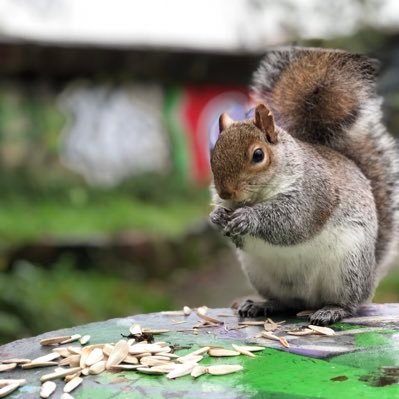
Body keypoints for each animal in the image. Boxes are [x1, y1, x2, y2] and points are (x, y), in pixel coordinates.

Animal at [209, 47, 399, 328]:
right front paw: (217, 216)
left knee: (349, 302)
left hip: (347, 270)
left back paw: (331, 310)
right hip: (262, 275)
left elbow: (293, 220)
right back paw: (262, 305)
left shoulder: (314, 192)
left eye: (258, 155)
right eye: (213, 154)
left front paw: (248, 218)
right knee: (287, 301)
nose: (225, 193)